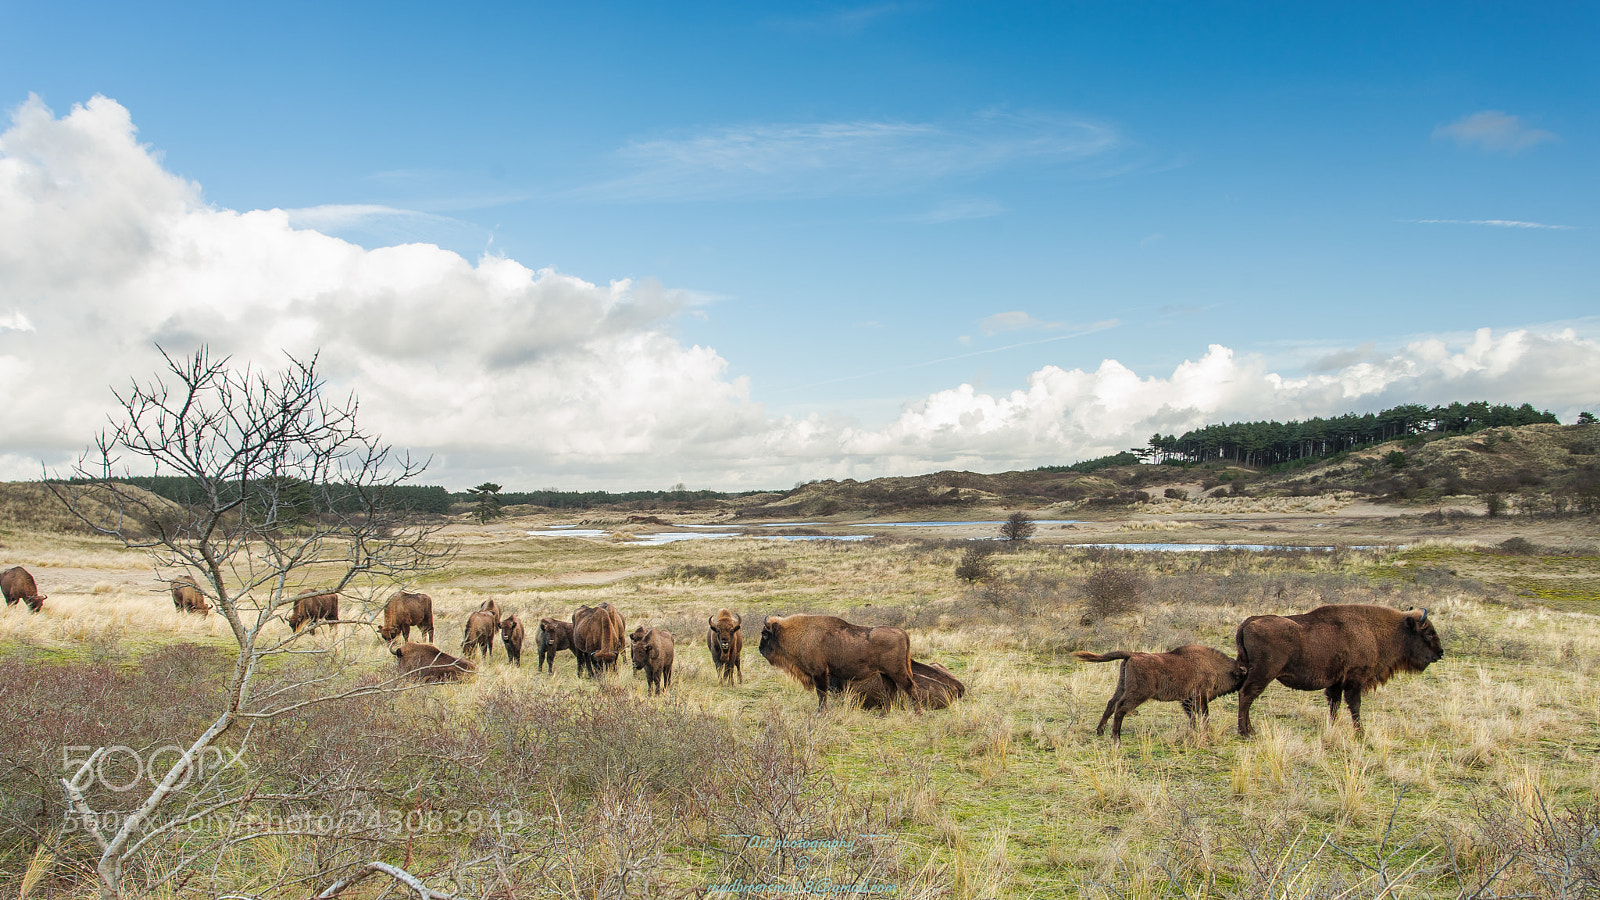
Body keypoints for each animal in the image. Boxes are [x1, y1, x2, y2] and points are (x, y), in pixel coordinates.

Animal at [758, 614, 920, 712]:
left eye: (765, 634)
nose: (760, 649)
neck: (801, 633)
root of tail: (902, 632)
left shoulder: (819, 673)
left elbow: (821, 694)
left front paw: (820, 713)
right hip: (885, 673)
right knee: (891, 691)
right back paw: (883, 715)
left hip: (897, 672)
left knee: (910, 687)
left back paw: (918, 713)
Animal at [1073, 645, 1246, 742]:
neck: (1213, 665)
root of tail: (1132, 654)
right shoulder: (1199, 698)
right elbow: (1204, 716)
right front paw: (1206, 733)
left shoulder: (1187, 700)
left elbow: (1193, 717)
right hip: (1138, 693)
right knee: (1120, 708)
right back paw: (1116, 738)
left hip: (1121, 686)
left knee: (1111, 704)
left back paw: (1100, 731)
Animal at [1235, 604, 1444, 736]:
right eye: (1427, 632)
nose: (1440, 653)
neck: (1373, 631)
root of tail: (1248, 622)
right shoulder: (1354, 680)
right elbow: (1354, 705)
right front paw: (1360, 732)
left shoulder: (1336, 683)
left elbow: (1334, 705)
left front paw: (1333, 727)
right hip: (1263, 674)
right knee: (1246, 696)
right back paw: (1246, 732)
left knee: (1245, 696)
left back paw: (1249, 730)